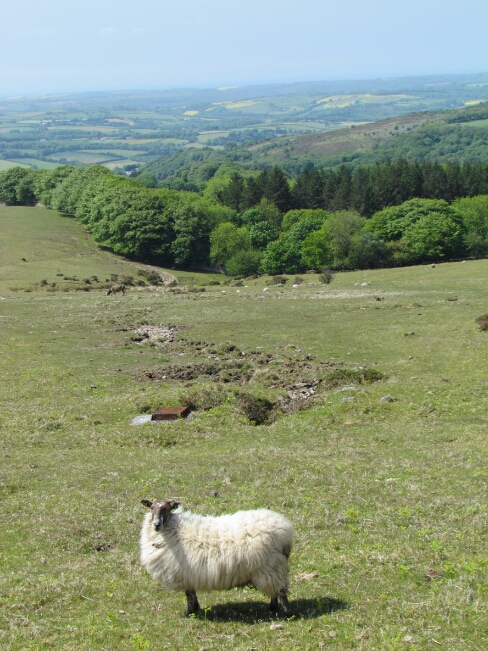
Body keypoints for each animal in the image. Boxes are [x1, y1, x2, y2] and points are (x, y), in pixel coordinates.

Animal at [140, 499, 293, 617]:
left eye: (167, 508)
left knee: (281, 591)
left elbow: (189, 595)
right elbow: (192, 595)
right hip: (271, 568)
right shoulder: (189, 576)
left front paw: (189, 613)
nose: (156, 524)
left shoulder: (185, 574)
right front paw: (196, 609)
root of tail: (285, 530)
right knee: (275, 591)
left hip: (272, 566)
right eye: (152, 507)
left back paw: (286, 613)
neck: (174, 529)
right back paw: (272, 609)